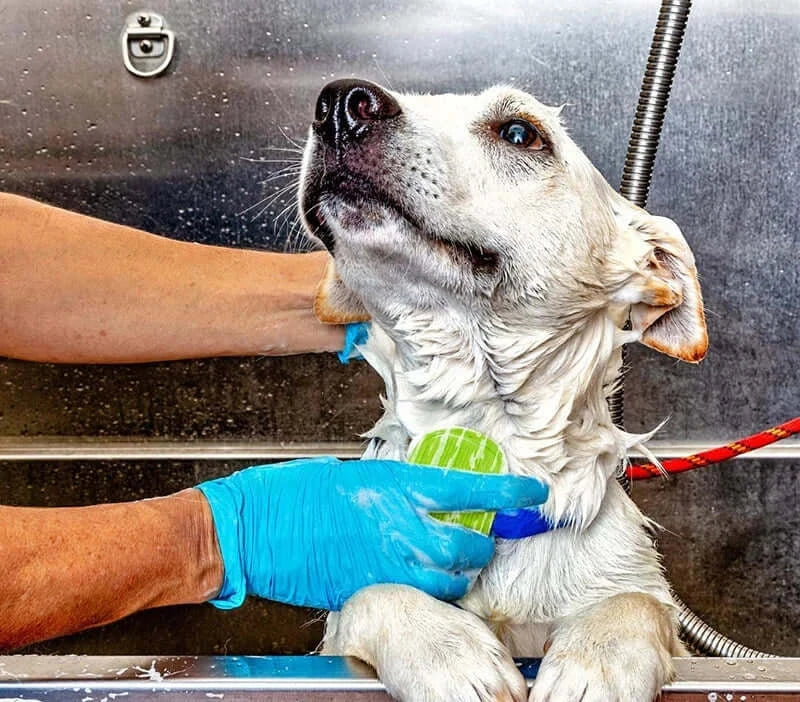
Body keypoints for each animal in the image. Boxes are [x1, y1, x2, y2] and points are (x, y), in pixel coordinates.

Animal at [298, 80, 708, 700]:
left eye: (520, 133)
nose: (341, 103)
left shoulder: (636, 595)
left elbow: (636, 604)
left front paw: (595, 665)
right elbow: (375, 591)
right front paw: (449, 654)